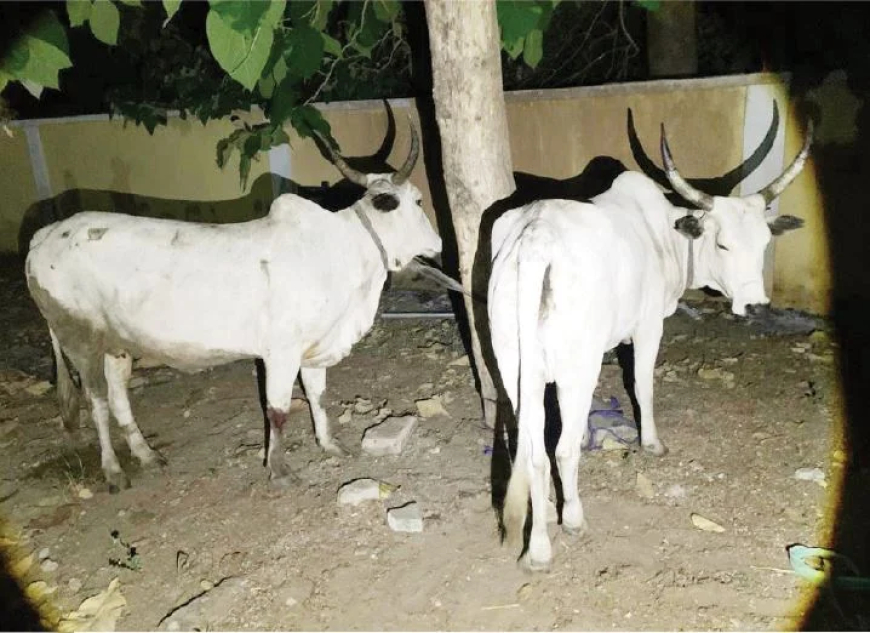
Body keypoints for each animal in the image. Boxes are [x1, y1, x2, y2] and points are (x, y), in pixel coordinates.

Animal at [25, 124, 442, 492]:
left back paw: (146, 454)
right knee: (96, 401)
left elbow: (318, 397)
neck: (345, 247)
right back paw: (113, 470)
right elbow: (277, 410)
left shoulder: (315, 346)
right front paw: (279, 470)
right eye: (419, 200)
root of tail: (44, 235)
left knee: (117, 395)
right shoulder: (281, 352)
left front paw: (329, 444)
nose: (438, 244)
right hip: (79, 337)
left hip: (116, 343)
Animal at [489, 120, 812, 570]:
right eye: (723, 244)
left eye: (765, 242)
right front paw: (651, 443)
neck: (664, 232)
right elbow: (642, 385)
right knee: (562, 450)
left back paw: (538, 543)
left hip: (516, 365)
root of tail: (536, 237)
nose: (756, 306)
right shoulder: (646, 328)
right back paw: (571, 520)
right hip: (576, 366)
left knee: (534, 451)